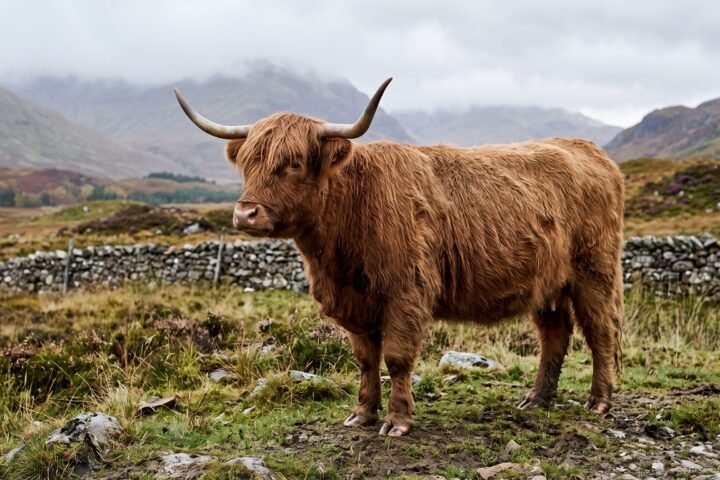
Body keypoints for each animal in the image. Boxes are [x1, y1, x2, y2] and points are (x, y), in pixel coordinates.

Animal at [174, 78, 624, 437]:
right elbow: (365, 359)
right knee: (555, 334)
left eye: (294, 163)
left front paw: (398, 421)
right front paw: (362, 413)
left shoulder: (407, 291)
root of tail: (588, 150)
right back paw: (537, 399)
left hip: (595, 272)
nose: (245, 213)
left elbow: (397, 357)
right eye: (248, 163)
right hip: (548, 283)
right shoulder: (355, 301)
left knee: (601, 330)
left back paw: (599, 401)